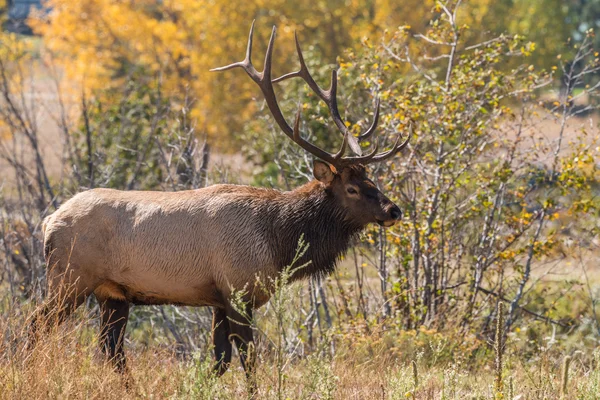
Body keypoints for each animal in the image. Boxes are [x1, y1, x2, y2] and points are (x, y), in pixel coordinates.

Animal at [31, 22, 408, 390]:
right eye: (352, 188)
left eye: (372, 179)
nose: (394, 210)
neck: (278, 243)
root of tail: (48, 221)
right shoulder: (237, 291)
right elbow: (249, 362)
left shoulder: (218, 300)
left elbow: (220, 362)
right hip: (70, 277)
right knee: (37, 323)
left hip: (113, 293)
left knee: (111, 348)